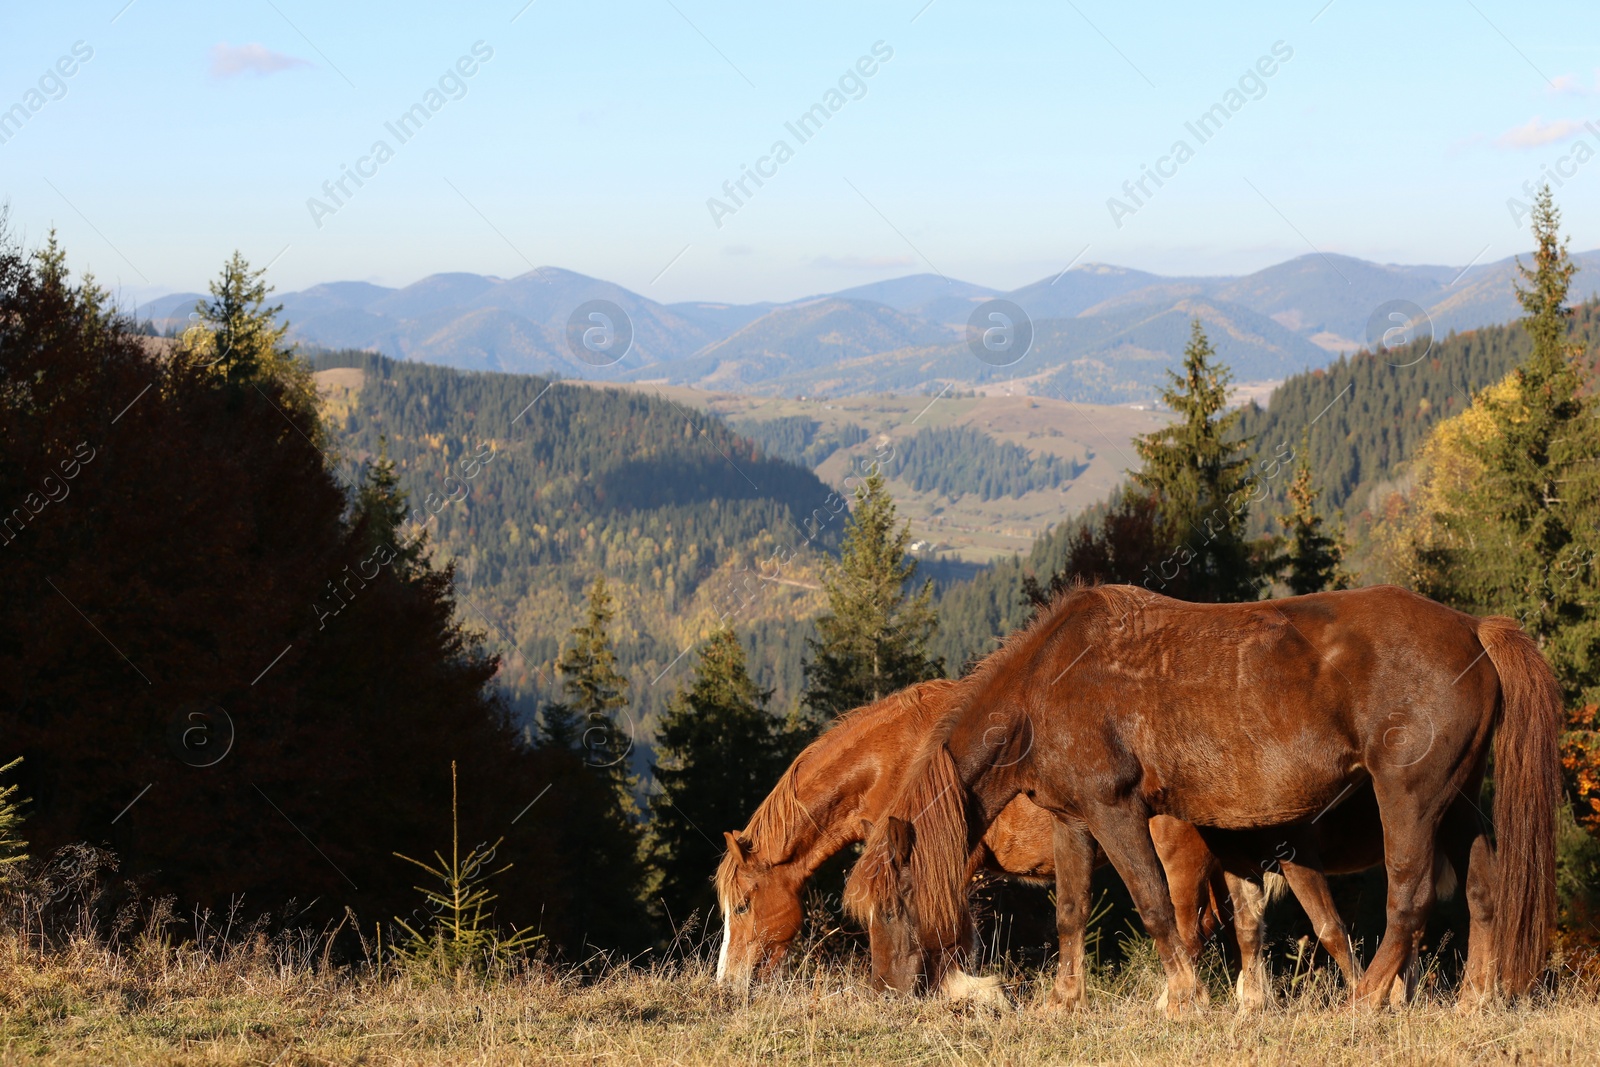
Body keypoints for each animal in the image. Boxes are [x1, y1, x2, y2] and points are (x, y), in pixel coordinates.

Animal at [720, 681, 1356, 1004]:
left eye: (744, 906)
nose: (726, 986)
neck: (896, 757)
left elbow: (956, 940)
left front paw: (974, 992)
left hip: (1176, 858)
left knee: (1189, 928)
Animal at [851, 585, 1561, 1011]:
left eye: (895, 903)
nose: (885, 992)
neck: (1047, 680)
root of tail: (1474, 629)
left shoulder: (1116, 810)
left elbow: (1156, 904)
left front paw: (1183, 997)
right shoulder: (1072, 819)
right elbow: (1072, 912)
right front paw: (1064, 1002)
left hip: (1408, 799)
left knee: (1409, 901)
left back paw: (1363, 1002)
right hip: (1455, 799)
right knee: (1482, 887)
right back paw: (1474, 997)